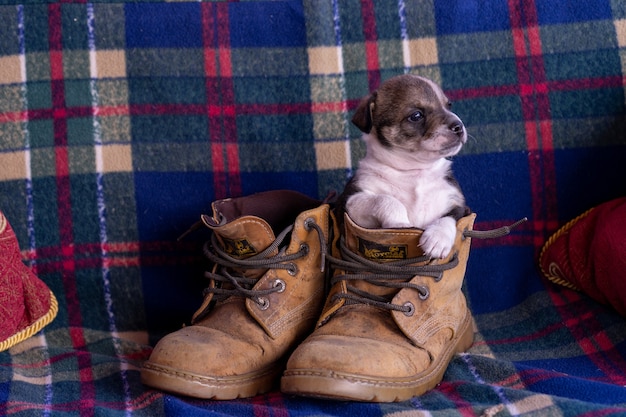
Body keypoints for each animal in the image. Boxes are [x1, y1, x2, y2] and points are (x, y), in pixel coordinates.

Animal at [338, 74, 466, 256]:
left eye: (449, 106)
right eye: (416, 115)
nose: (459, 126)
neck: (413, 171)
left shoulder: (457, 202)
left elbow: (449, 217)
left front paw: (438, 238)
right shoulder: (352, 201)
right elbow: (386, 200)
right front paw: (399, 224)